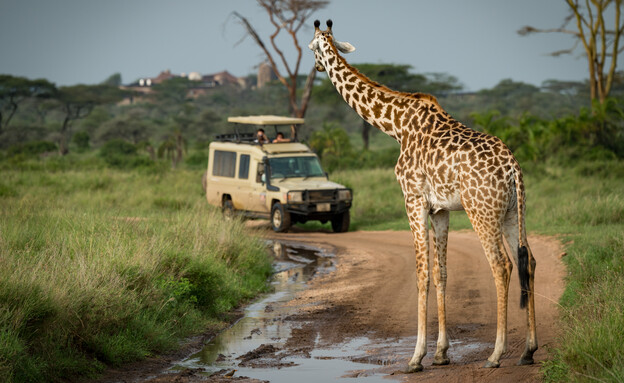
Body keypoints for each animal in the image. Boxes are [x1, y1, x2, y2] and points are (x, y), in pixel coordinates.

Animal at [310, 20, 540, 372]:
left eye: (311, 48)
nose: (316, 67)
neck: (396, 126)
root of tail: (512, 168)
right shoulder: (440, 210)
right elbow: (441, 273)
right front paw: (442, 353)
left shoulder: (413, 199)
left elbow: (421, 274)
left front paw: (416, 357)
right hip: (514, 211)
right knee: (527, 261)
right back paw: (528, 350)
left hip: (481, 211)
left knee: (501, 265)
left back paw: (496, 355)